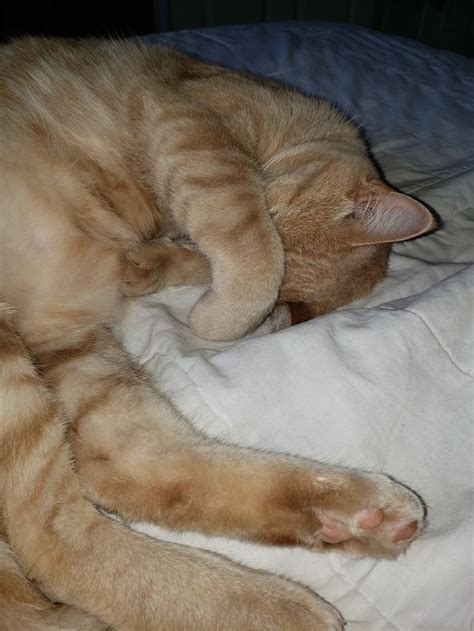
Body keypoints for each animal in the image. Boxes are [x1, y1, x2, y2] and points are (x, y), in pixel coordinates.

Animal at [0, 37, 432, 628]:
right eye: (274, 214)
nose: (184, 245)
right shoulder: (196, 120)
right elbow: (247, 241)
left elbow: (228, 253)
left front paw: (179, 289)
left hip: (65, 357)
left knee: (82, 514)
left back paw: (330, 546)